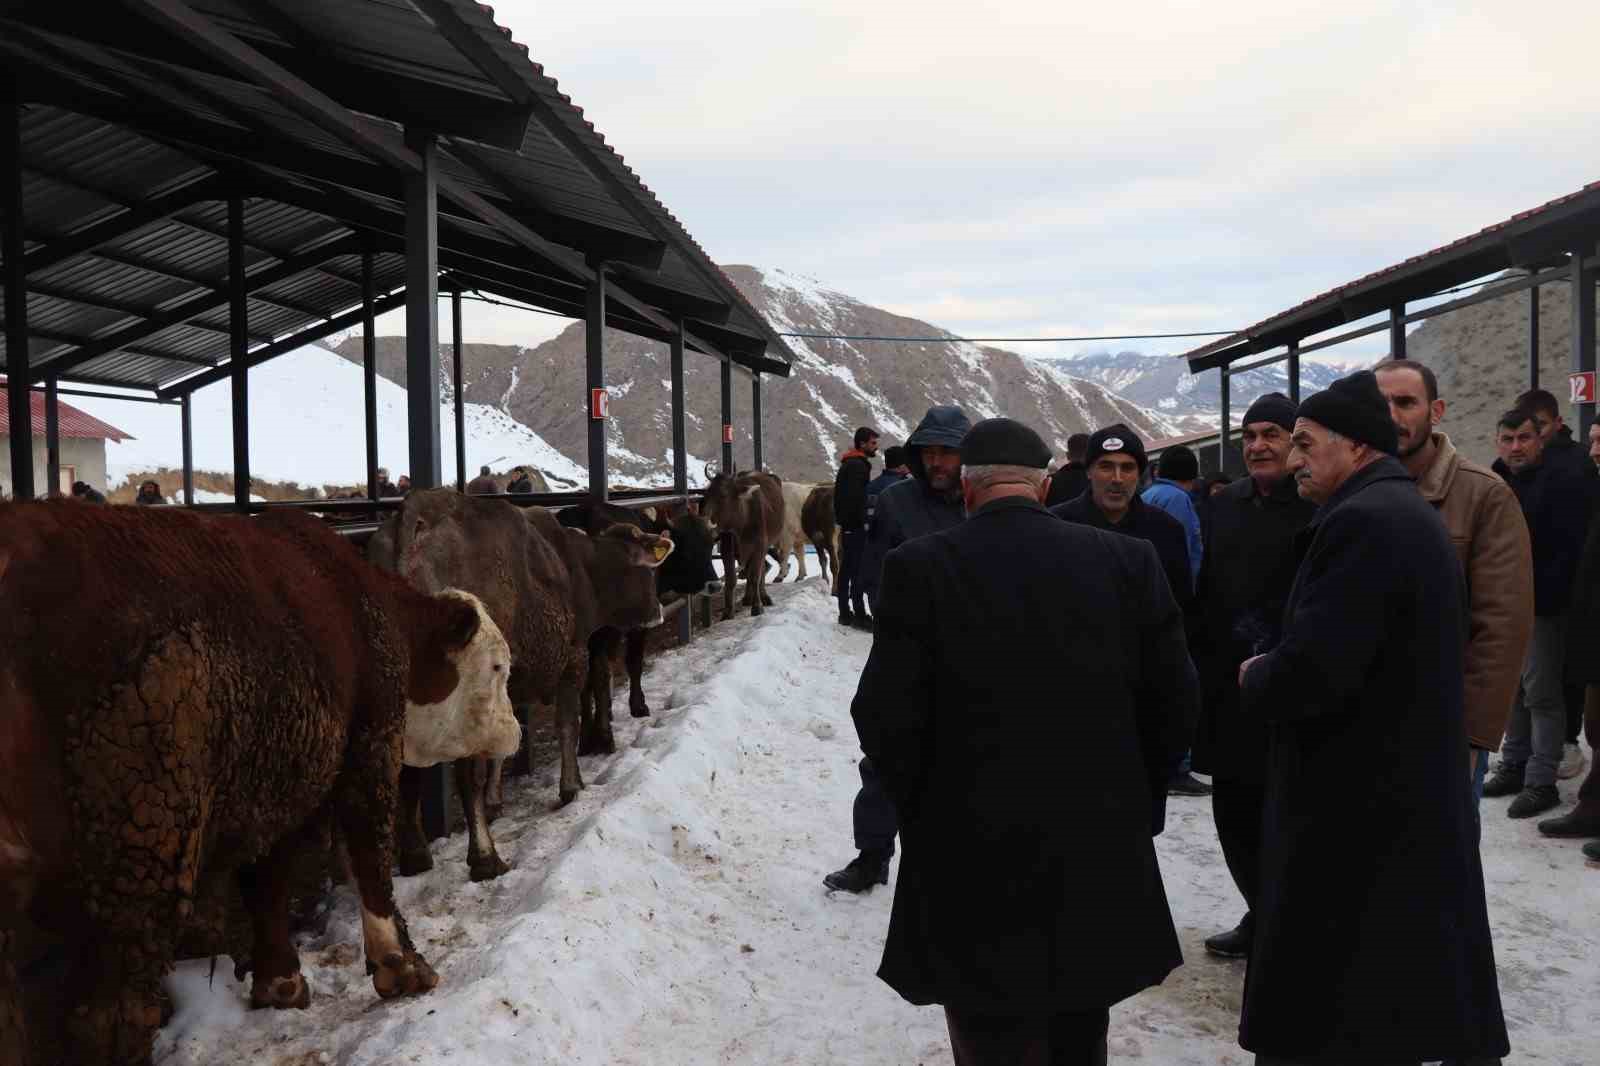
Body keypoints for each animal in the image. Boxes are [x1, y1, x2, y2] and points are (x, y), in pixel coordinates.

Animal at [0, 502, 515, 1062]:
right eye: (497, 667)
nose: (515, 731)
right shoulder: (371, 742)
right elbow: (370, 857)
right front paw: (401, 964)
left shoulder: (277, 777)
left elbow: (267, 877)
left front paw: (280, 980)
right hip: (139, 850)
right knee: (110, 1017)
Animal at [366, 486, 668, 877]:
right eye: (647, 571)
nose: (658, 612)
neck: (582, 565)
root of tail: (418, 510)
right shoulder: (573, 657)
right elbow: (566, 724)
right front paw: (571, 786)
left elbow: (508, 740)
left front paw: (496, 801)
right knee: (466, 772)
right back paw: (484, 856)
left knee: (406, 772)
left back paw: (416, 853)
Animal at [560, 492, 716, 717]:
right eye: (687, 549)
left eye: (710, 545)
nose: (715, 585)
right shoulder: (639, 622)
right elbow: (633, 661)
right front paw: (638, 705)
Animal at [700, 467, 787, 624]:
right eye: (706, 494)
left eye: (723, 495)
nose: (704, 522)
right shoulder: (727, 549)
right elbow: (731, 579)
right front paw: (728, 612)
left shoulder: (759, 546)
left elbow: (755, 576)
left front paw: (757, 606)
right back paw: (747, 598)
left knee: (760, 570)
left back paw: (763, 597)